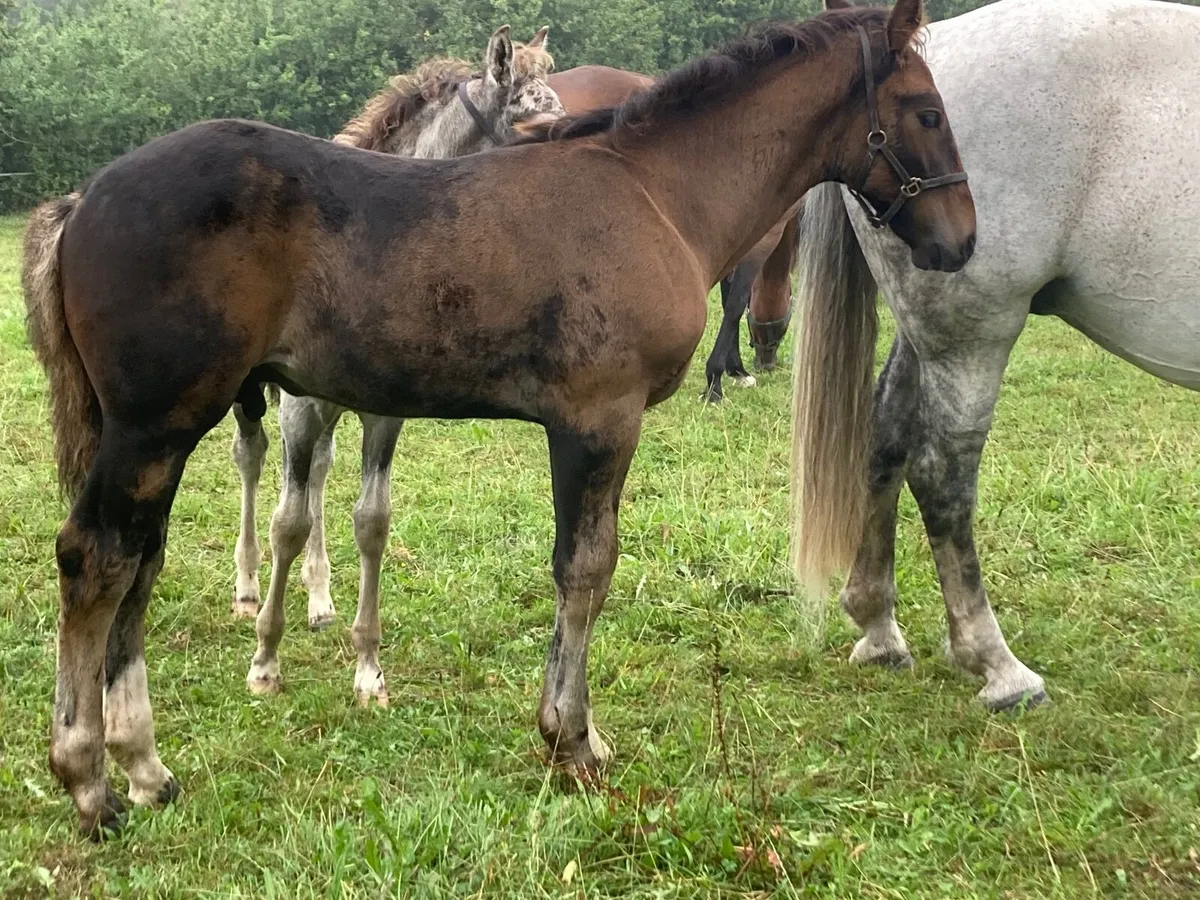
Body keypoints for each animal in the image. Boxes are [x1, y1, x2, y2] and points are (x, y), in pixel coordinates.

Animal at [228, 27, 563, 709]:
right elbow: (287, 522)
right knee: (251, 460)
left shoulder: (385, 412)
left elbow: (371, 521)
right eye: (534, 121)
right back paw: (247, 591)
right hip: (252, 394)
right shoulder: (298, 404)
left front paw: (368, 670)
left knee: (317, 472)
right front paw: (265, 663)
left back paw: (320, 599)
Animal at [792, 0, 1200, 713]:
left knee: (885, 436)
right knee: (941, 474)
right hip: (971, 330)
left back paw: (879, 629)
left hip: (926, 327)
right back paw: (998, 666)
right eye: (929, 120)